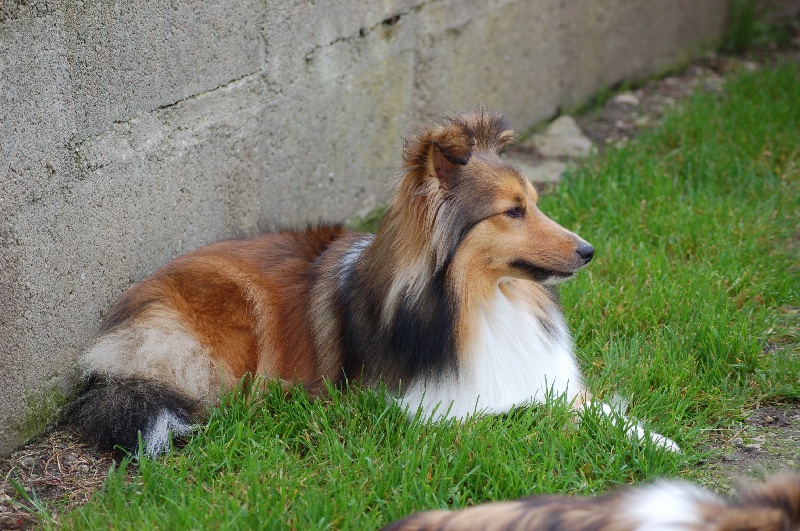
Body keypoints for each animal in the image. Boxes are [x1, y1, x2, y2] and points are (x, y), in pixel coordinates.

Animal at [72, 109, 680, 458]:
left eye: (534, 202)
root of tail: (126, 316)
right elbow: (534, 415)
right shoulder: (433, 406)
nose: (589, 251)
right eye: (512, 211)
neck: (479, 302)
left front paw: (657, 439)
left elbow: (588, 405)